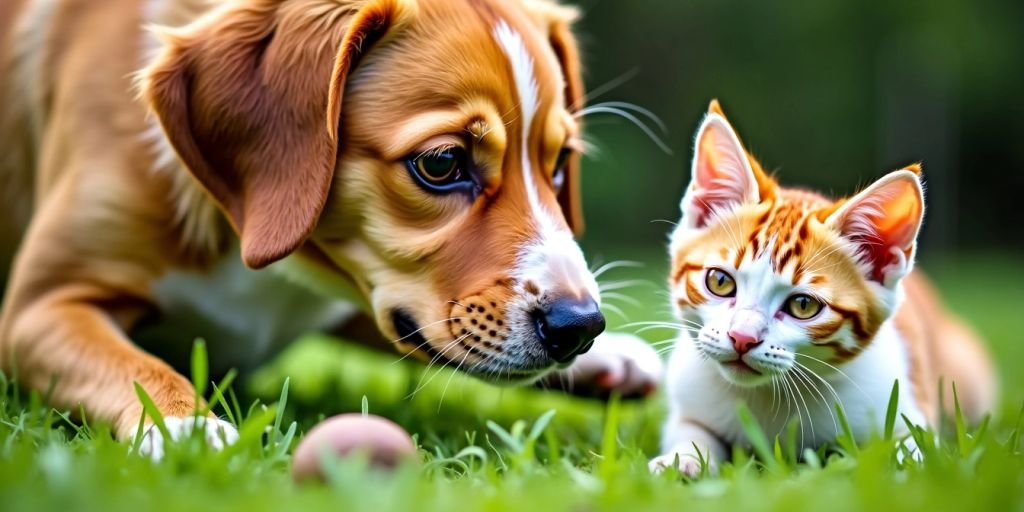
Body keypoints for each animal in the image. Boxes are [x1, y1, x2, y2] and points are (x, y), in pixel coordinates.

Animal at [0, 0, 659, 458]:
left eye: (558, 163)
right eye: (442, 163)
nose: (582, 326)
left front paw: (608, 362)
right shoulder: (39, 307)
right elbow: (136, 367)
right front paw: (186, 426)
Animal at [651, 99, 995, 475]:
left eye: (803, 305)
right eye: (720, 281)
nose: (741, 338)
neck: (768, 397)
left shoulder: (910, 415)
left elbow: (919, 457)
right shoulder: (688, 400)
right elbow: (691, 431)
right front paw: (682, 460)